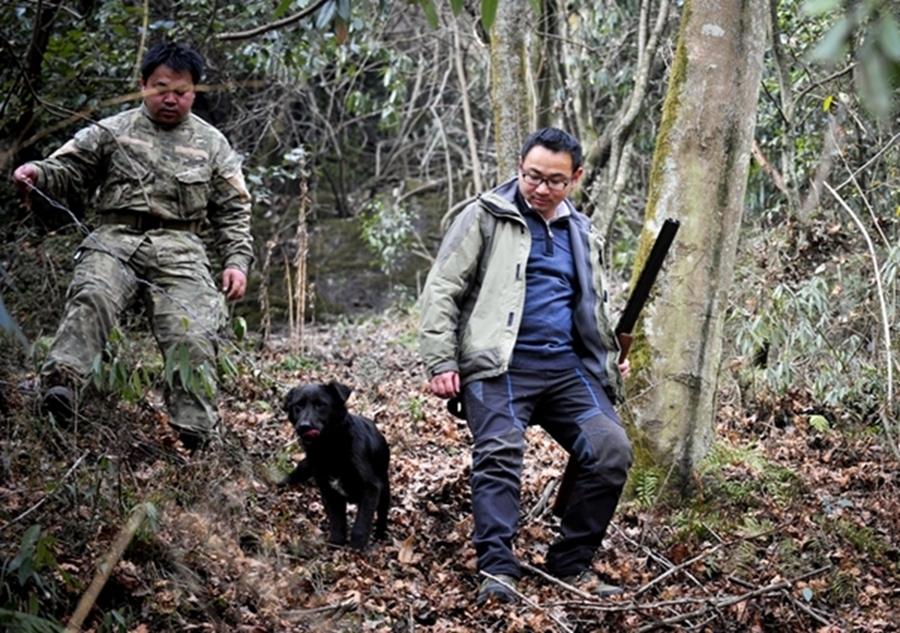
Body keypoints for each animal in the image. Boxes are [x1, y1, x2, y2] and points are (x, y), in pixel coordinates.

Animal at [282, 380, 390, 548]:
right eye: (298, 405)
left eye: (320, 405)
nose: (304, 426)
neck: (330, 447)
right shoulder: (328, 490)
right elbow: (337, 519)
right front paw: (337, 543)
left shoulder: (371, 487)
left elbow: (362, 523)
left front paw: (356, 547)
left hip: (384, 488)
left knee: (382, 512)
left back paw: (380, 534)